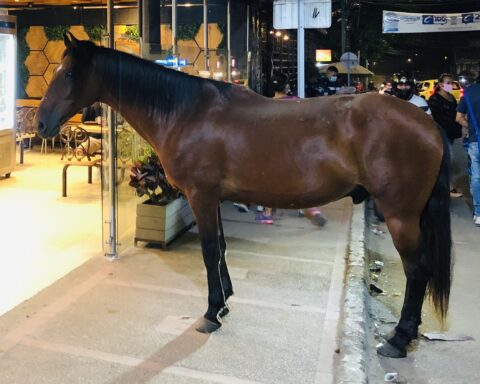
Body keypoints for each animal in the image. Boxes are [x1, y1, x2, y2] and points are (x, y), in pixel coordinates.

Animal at [35, 34, 452, 358]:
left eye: (69, 73)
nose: (40, 124)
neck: (185, 112)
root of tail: (428, 123)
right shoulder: (214, 198)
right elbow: (220, 248)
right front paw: (225, 302)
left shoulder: (201, 197)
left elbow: (208, 251)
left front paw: (210, 313)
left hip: (400, 215)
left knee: (417, 271)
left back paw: (398, 339)